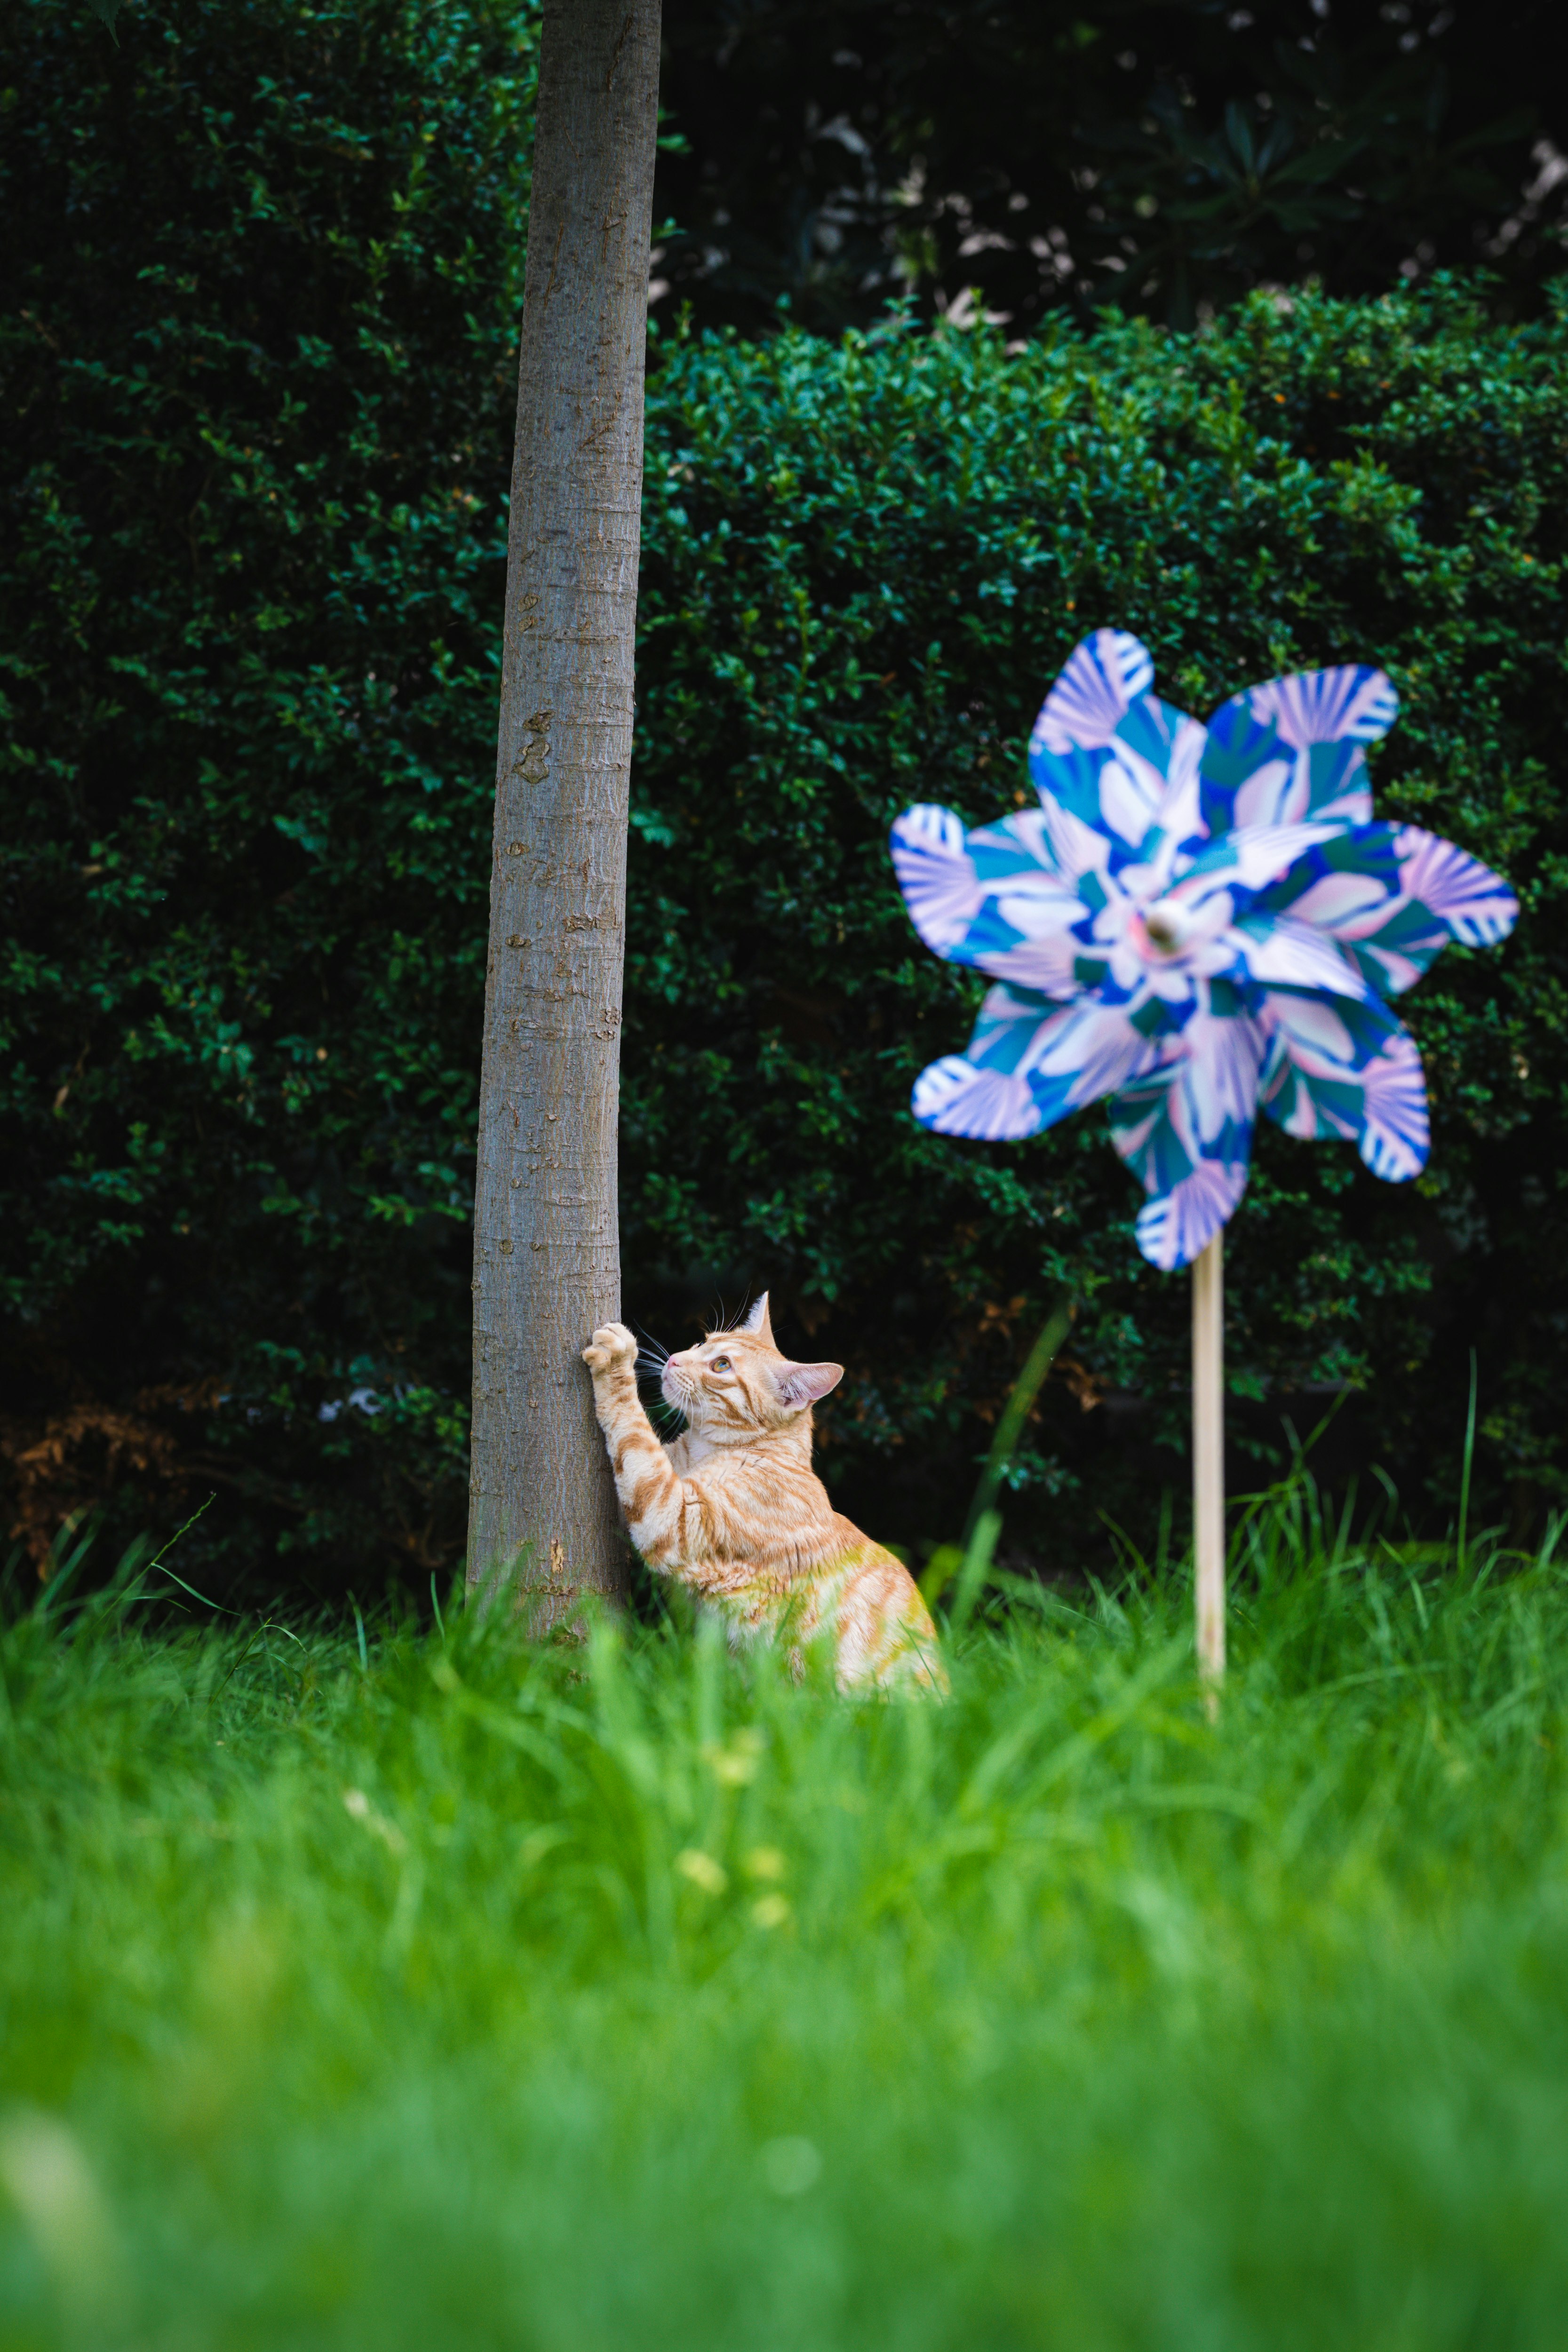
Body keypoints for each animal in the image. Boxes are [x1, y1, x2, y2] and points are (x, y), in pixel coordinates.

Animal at [576, 1308, 945, 1693]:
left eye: (722, 1365)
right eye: (702, 1342)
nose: (675, 1359)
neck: (705, 1452)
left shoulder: (674, 1519)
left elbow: (633, 1431)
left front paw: (617, 1360)